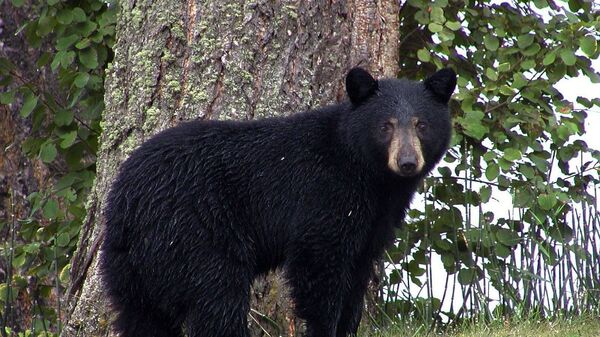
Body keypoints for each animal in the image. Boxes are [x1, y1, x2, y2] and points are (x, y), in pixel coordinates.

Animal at [99, 67, 454, 336]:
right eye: (386, 126)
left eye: (422, 124)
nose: (407, 162)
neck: (369, 176)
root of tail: (125, 200)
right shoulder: (325, 195)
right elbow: (319, 266)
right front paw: (324, 328)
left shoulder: (375, 220)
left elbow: (358, 274)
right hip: (195, 231)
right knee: (217, 296)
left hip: (131, 264)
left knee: (142, 315)